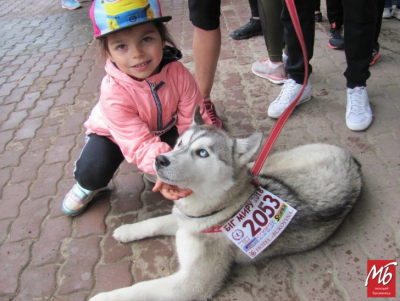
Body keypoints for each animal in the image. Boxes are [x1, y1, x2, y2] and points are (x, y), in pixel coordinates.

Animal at [90, 107, 362, 300]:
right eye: (180, 143)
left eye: (202, 153)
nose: (159, 159)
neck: (220, 208)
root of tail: (354, 161)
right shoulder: (185, 220)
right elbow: (155, 222)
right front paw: (128, 230)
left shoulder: (191, 283)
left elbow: (141, 290)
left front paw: (104, 298)